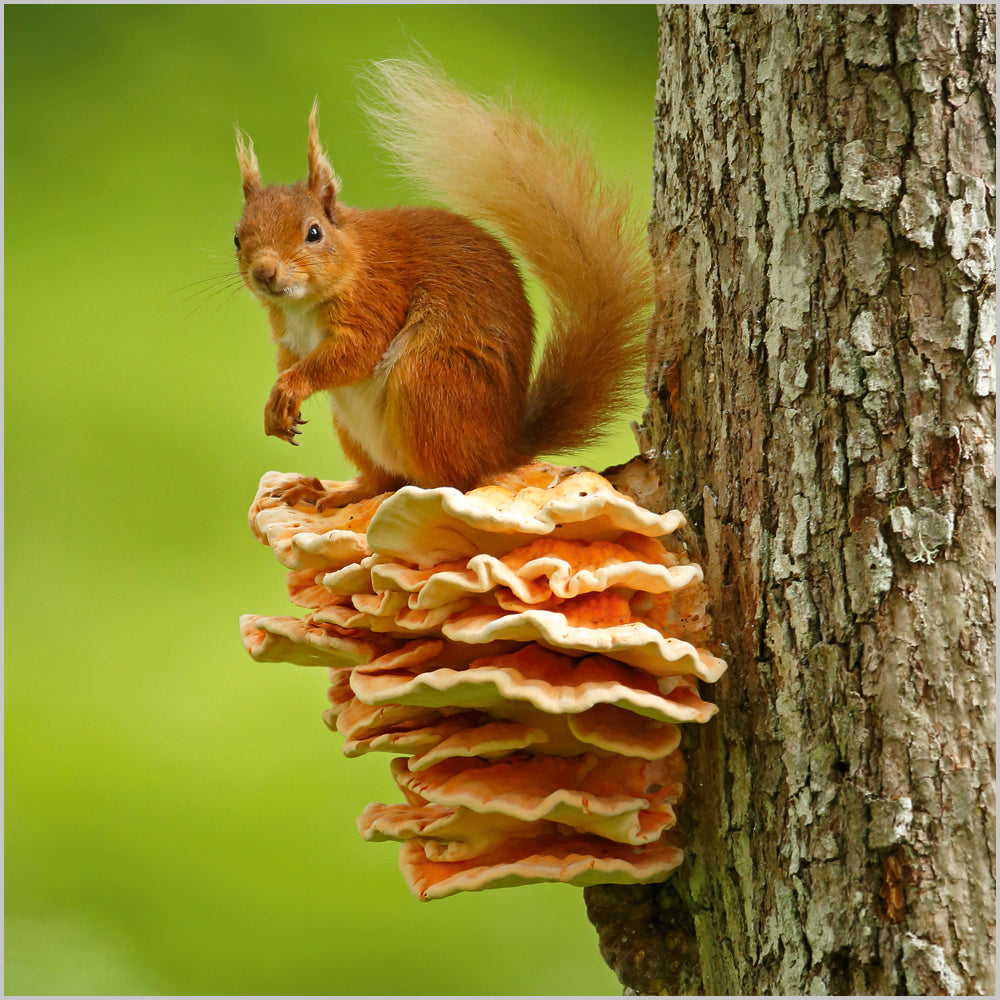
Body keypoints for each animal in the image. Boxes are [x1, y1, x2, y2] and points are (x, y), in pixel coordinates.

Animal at [234, 60, 652, 510]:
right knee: (382, 480)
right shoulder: (289, 338)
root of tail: (502, 448)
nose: (265, 272)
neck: (304, 306)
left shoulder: (378, 298)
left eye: (314, 233)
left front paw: (291, 387)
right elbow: (290, 360)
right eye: (237, 238)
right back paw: (333, 491)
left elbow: (357, 352)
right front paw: (275, 405)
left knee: (456, 479)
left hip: (427, 385)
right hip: (359, 427)